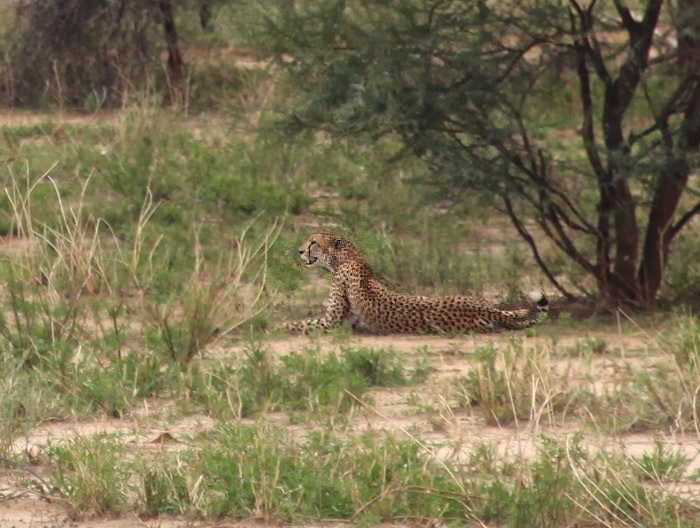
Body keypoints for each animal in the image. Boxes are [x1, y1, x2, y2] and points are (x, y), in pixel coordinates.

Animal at [282, 231, 548, 334]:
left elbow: (295, 324)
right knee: (514, 311)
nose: (299, 251)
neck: (346, 257)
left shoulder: (332, 322)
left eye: (314, 242)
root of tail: (485, 311)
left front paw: (273, 326)